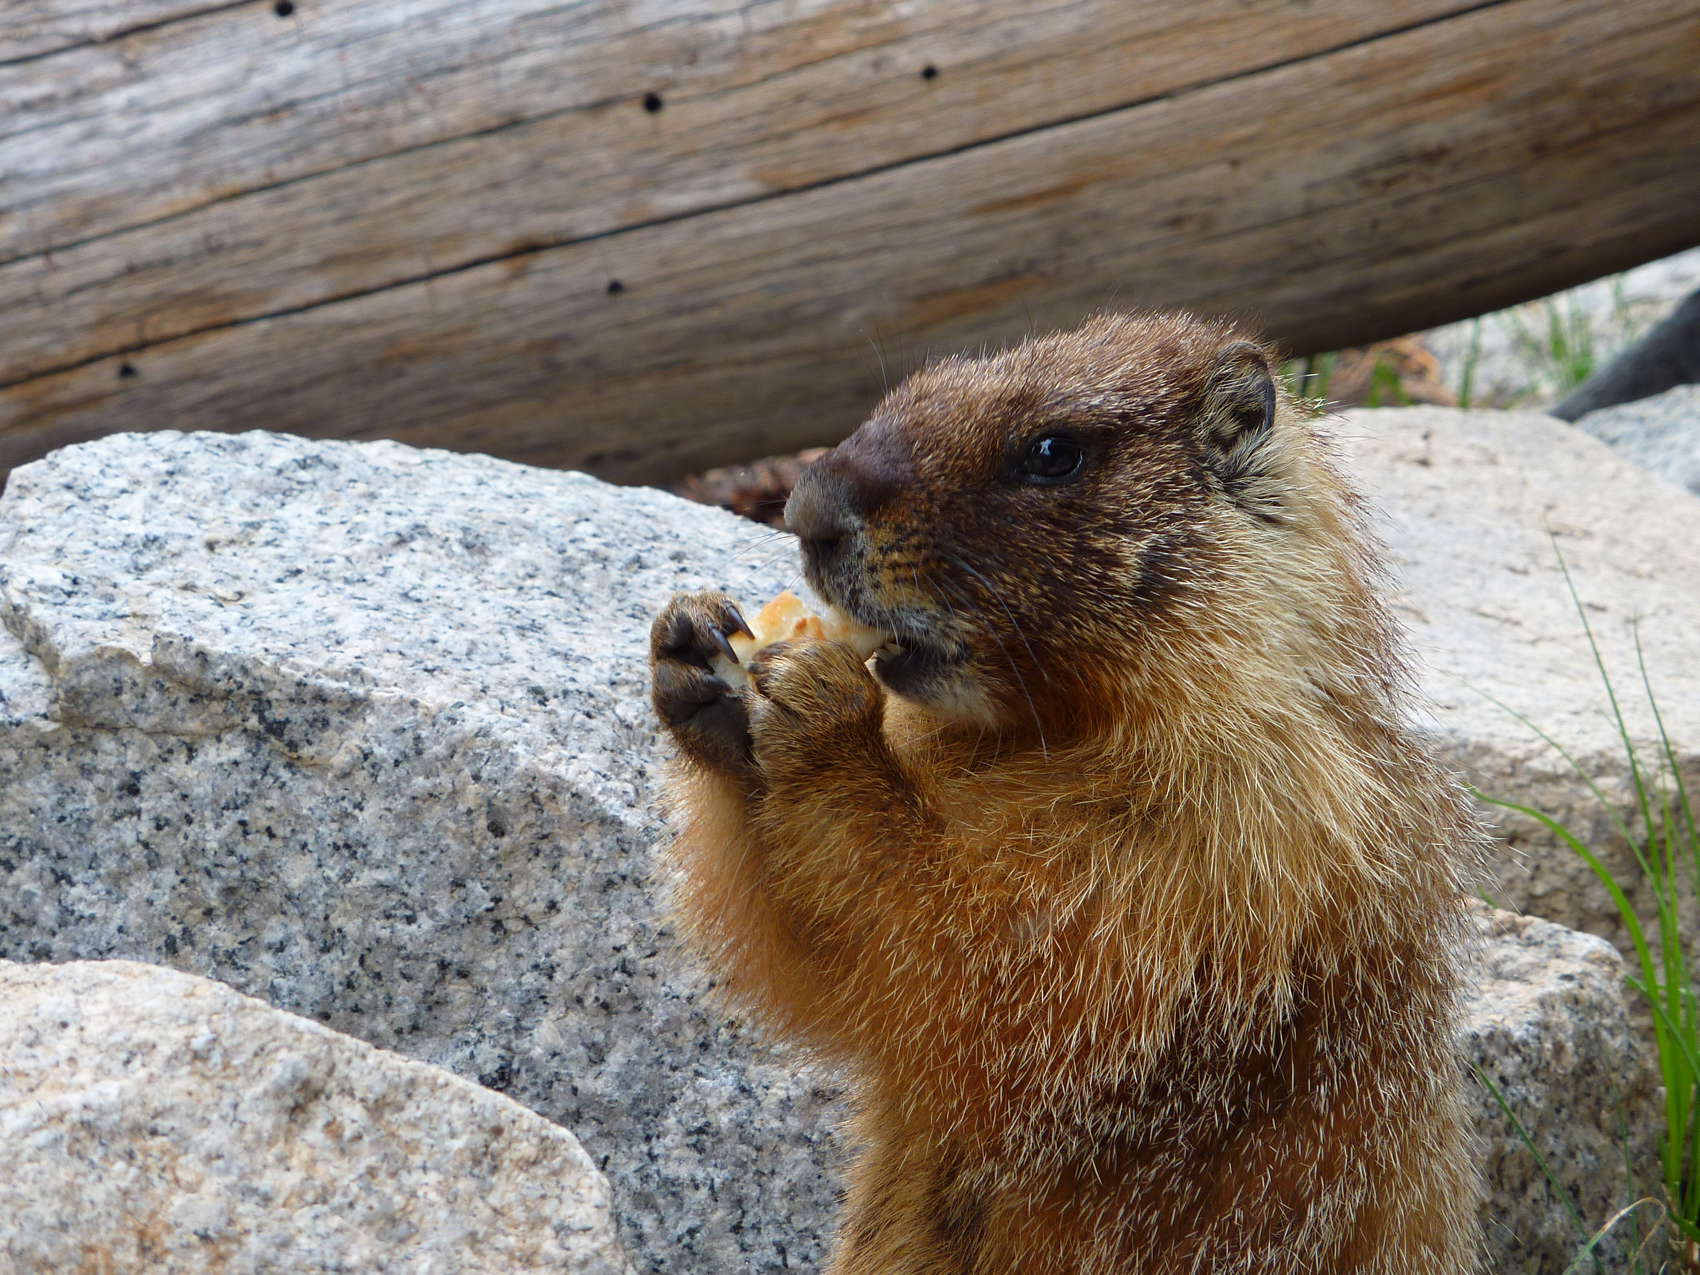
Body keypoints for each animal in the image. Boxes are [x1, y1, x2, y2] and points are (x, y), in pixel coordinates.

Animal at [649, 311, 1485, 1274]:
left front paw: (818, 697)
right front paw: (695, 645)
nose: (807, 509)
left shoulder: (1236, 828)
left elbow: (1007, 973)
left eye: (1053, 452)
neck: (1042, 734)